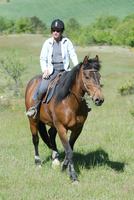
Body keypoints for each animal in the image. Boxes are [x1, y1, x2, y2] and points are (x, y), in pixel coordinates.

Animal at [25, 55, 104, 183]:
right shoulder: (62, 127)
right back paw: (38, 162)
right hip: (34, 121)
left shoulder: (77, 129)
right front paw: (74, 177)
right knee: (35, 139)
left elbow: (69, 150)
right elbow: (69, 152)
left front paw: (63, 168)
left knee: (51, 134)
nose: (99, 99)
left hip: (53, 124)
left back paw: (55, 159)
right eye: (87, 76)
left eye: (99, 76)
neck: (69, 102)